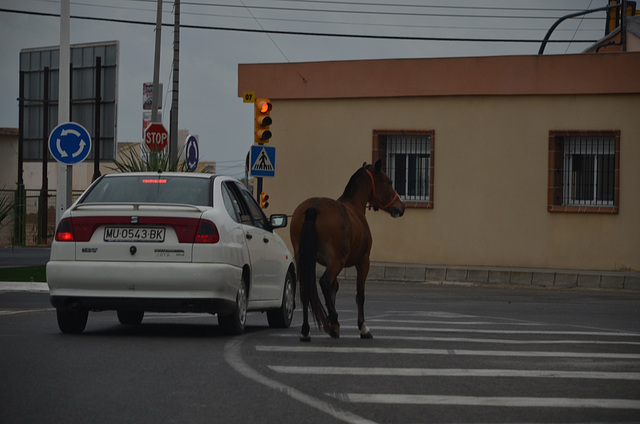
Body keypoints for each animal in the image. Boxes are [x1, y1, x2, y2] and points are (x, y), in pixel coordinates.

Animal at [290, 159, 404, 342]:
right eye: (389, 182)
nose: (401, 207)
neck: (354, 206)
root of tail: (313, 207)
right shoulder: (363, 262)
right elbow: (360, 295)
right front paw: (363, 327)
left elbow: (334, 289)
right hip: (337, 262)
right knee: (324, 282)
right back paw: (334, 320)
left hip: (304, 261)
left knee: (305, 289)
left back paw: (306, 330)